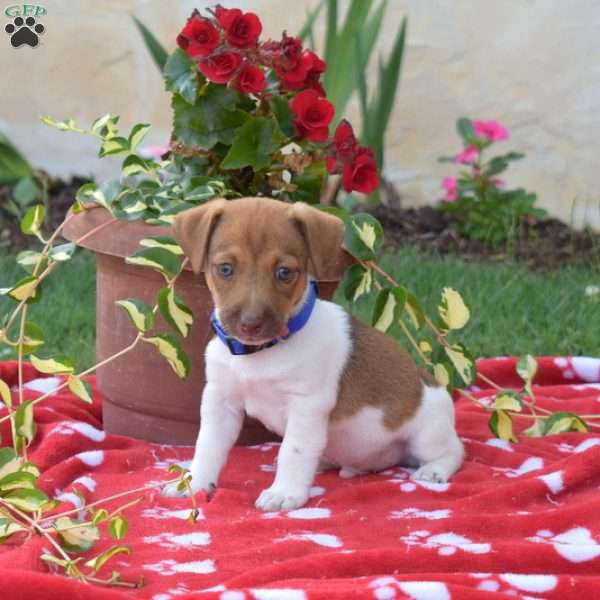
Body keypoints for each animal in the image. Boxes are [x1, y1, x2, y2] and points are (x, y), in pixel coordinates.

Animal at [164, 197, 464, 510]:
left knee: (454, 451)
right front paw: (195, 483)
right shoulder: (221, 400)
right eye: (224, 269)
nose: (250, 325)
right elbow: (207, 445)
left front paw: (284, 493)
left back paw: (433, 470)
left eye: (284, 272)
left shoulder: (306, 405)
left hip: (427, 434)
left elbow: (293, 450)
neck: (259, 354)